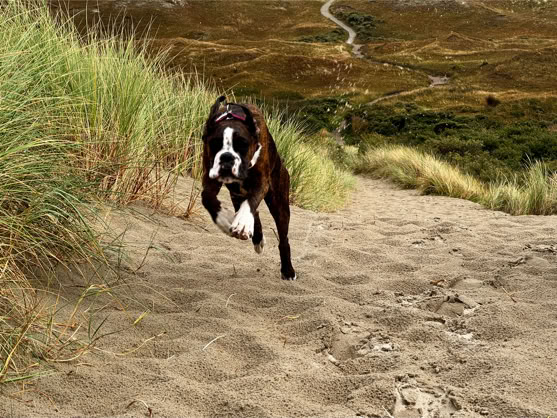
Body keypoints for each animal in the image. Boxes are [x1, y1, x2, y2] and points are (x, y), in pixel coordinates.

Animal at [201, 96, 296, 281]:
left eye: (243, 144)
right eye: (215, 143)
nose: (227, 157)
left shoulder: (261, 182)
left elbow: (251, 203)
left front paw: (243, 223)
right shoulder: (210, 176)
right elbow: (207, 197)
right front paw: (223, 220)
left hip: (279, 205)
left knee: (283, 239)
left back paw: (288, 270)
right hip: (237, 194)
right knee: (254, 212)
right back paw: (257, 239)